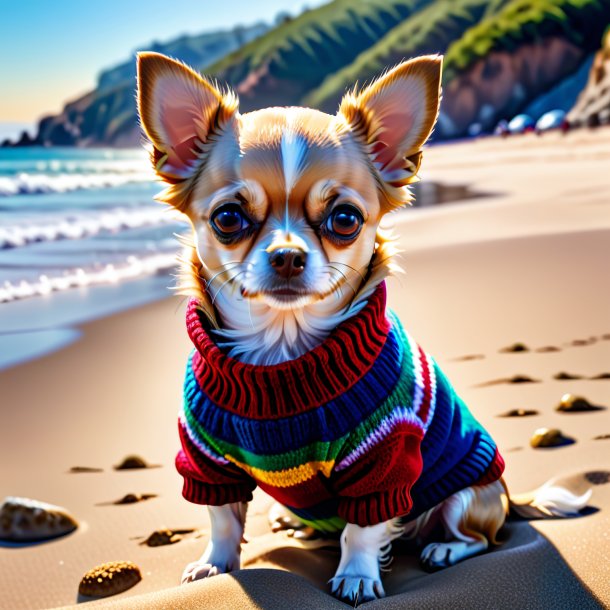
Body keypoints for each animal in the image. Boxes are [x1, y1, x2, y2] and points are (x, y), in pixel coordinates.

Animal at [135, 52, 588, 604]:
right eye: (228, 218)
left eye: (345, 219)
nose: (288, 256)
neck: (281, 351)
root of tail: (505, 495)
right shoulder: (208, 459)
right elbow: (222, 519)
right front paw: (216, 565)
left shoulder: (384, 460)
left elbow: (362, 528)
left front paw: (356, 574)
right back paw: (295, 519)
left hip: (467, 496)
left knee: (479, 536)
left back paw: (444, 548)